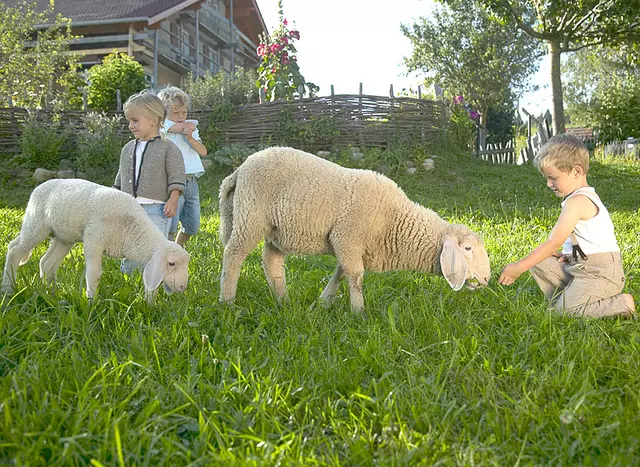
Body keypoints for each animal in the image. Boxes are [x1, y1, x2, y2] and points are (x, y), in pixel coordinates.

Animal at [1, 179, 191, 304]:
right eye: (171, 263)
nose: (183, 287)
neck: (131, 228)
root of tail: (40, 186)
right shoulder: (94, 239)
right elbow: (94, 274)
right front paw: (91, 302)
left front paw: (150, 305)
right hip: (36, 223)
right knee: (15, 249)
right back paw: (8, 289)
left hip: (64, 236)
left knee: (47, 263)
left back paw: (51, 293)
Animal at [218, 148, 492, 312]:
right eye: (467, 249)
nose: (487, 280)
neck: (393, 220)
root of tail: (239, 170)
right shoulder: (347, 237)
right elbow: (356, 277)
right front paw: (359, 312)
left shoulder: (348, 245)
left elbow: (341, 273)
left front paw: (323, 303)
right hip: (251, 216)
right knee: (233, 255)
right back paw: (227, 302)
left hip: (276, 229)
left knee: (271, 260)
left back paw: (283, 300)